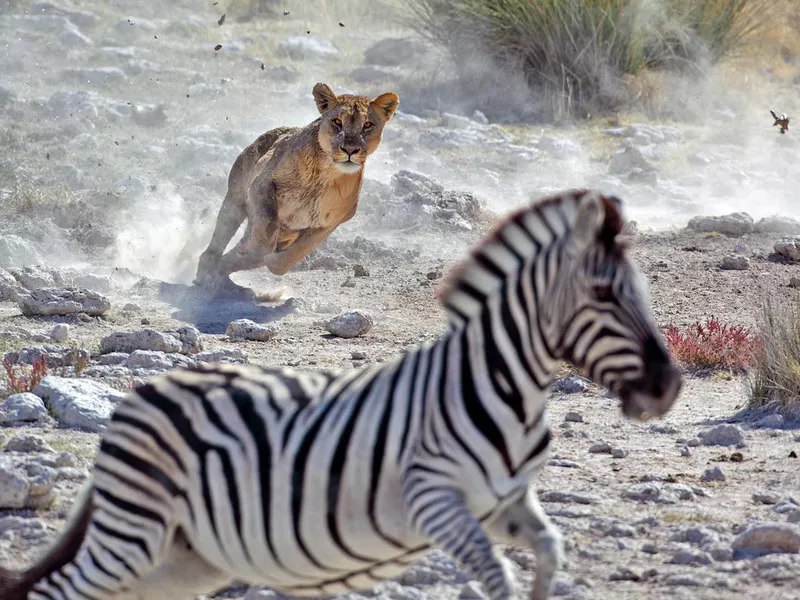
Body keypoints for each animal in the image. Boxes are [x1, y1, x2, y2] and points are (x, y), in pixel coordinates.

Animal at [0, 190, 680, 600]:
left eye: (641, 291)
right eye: (603, 295)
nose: (668, 386)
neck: (500, 388)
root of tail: (143, 395)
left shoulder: (505, 503)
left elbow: (549, 550)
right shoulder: (433, 501)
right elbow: (499, 576)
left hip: (184, 554)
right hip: (134, 534)